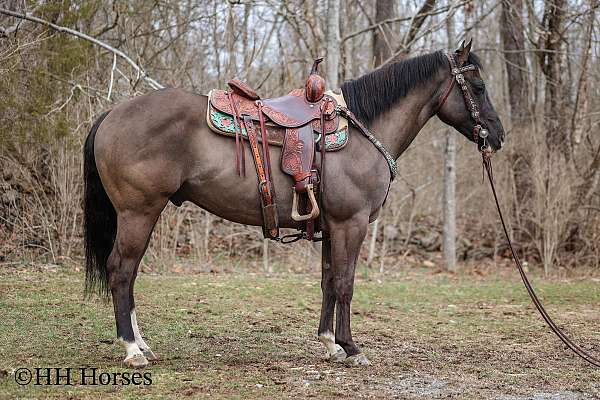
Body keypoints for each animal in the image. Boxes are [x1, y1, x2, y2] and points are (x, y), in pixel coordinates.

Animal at [83, 41, 506, 368]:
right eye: (479, 85)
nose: (498, 135)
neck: (364, 131)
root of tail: (111, 114)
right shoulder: (351, 223)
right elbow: (347, 283)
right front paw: (352, 348)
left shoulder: (332, 227)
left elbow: (329, 281)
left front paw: (330, 343)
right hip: (139, 213)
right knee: (120, 271)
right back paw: (132, 350)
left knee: (129, 274)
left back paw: (143, 345)